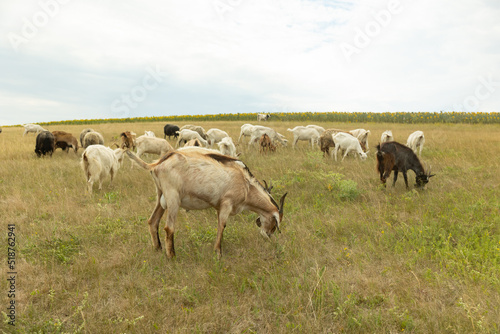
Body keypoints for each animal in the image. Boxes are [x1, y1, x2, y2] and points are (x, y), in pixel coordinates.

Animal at [125, 147, 288, 260]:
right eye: (275, 223)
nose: (268, 235)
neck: (246, 184)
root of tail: (156, 165)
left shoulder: (219, 207)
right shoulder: (226, 204)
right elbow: (222, 226)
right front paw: (218, 253)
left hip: (160, 196)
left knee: (153, 221)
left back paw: (157, 249)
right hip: (173, 198)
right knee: (169, 228)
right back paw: (172, 257)